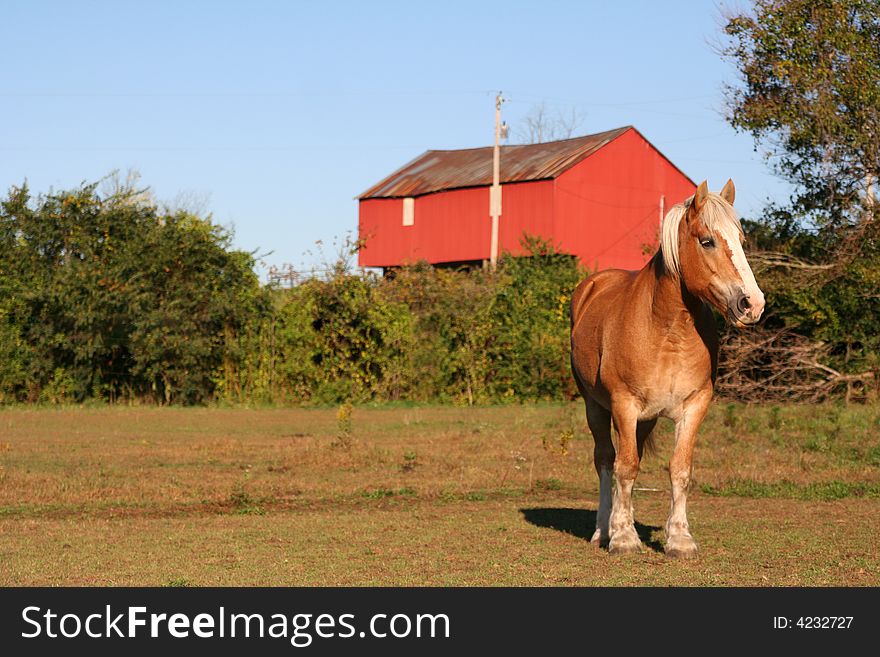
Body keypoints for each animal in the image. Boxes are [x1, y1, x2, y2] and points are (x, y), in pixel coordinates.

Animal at [572, 181, 764, 560]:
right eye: (708, 241)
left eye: (740, 239)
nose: (753, 304)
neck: (666, 329)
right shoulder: (624, 405)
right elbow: (624, 468)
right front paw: (623, 537)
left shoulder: (694, 406)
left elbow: (679, 469)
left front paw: (679, 539)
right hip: (595, 407)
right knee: (606, 461)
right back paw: (603, 529)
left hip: (644, 420)